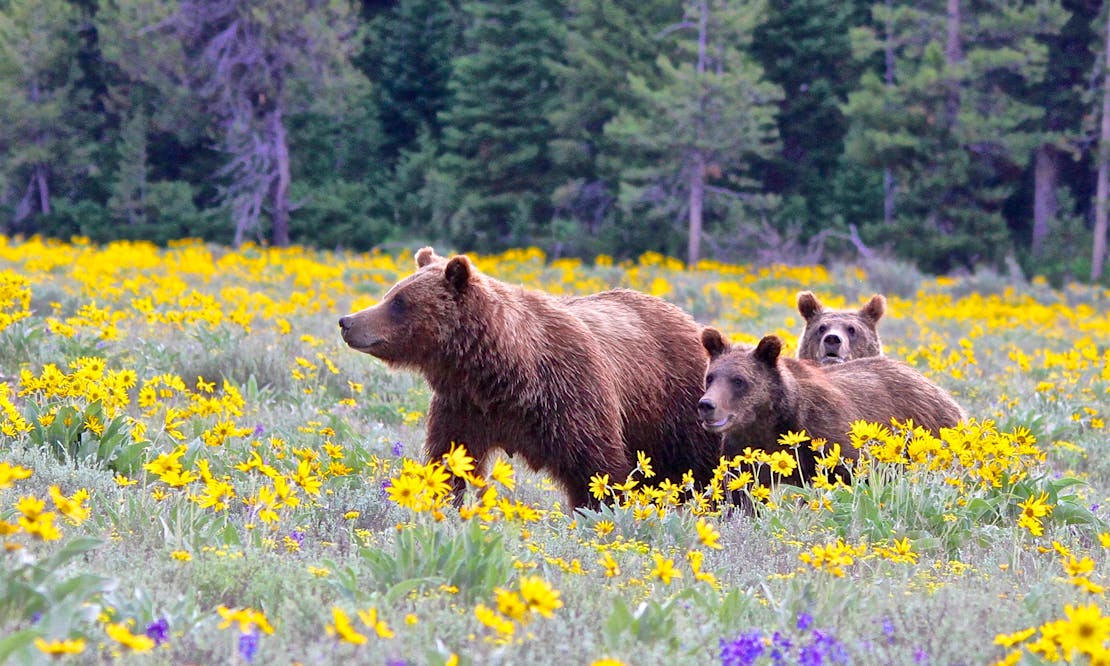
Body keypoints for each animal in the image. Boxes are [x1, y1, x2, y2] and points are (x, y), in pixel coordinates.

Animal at [337, 247, 719, 508]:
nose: (347, 321)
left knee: (705, 466)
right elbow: (448, 458)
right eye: (391, 293)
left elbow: (598, 468)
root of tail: (689, 320)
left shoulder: (572, 394)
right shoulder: (464, 407)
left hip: (677, 405)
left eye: (398, 301)